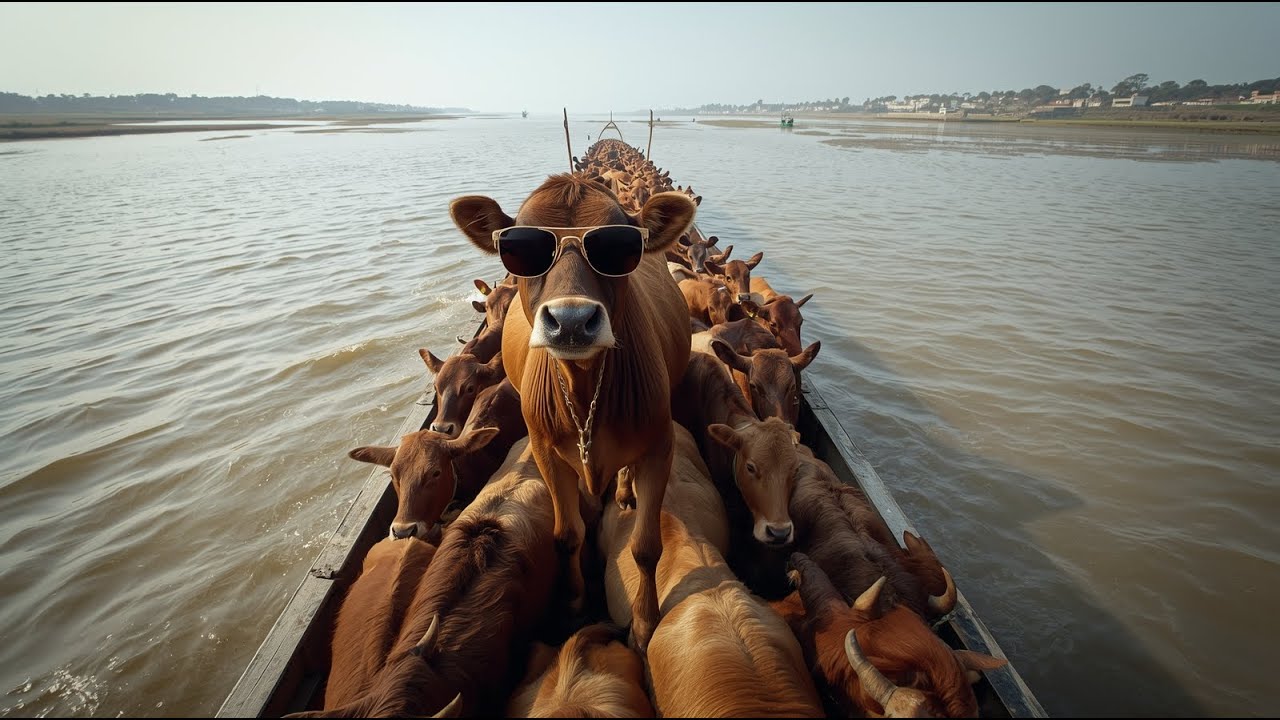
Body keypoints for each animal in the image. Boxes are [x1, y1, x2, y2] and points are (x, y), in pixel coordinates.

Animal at [449, 174, 695, 652]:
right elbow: (567, 535)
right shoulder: (546, 450)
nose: (572, 321)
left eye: (618, 245)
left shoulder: (660, 445)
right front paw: (574, 605)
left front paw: (645, 623)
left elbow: (646, 547)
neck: (585, 392)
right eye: (521, 246)